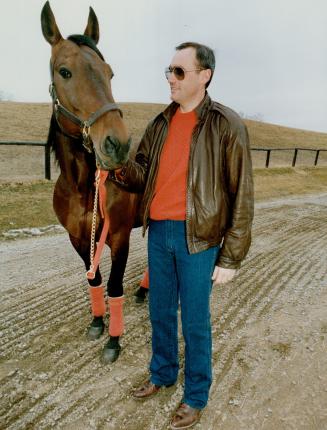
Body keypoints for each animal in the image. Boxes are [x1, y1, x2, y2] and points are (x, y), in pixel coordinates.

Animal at [41, 2, 147, 362]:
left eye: (109, 72)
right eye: (64, 72)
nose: (117, 143)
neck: (84, 188)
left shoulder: (119, 236)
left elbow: (114, 285)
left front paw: (114, 341)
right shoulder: (78, 238)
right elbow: (95, 280)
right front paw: (97, 323)